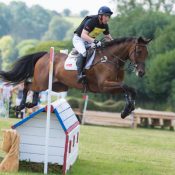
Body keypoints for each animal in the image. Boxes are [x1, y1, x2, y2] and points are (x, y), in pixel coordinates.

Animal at [0, 37, 151, 119]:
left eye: (147, 53)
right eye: (139, 51)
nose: (141, 72)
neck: (110, 58)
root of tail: (44, 55)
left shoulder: (115, 85)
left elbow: (130, 90)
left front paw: (127, 110)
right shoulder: (104, 85)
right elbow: (127, 88)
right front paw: (127, 109)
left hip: (57, 86)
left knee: (34, 88)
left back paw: (30, 104)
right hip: (42, 81)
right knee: (27, 85)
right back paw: (20, 106)